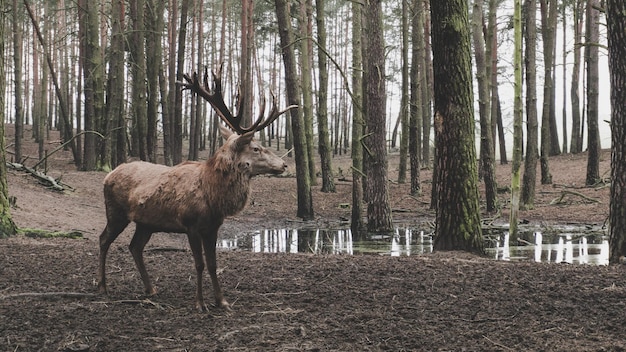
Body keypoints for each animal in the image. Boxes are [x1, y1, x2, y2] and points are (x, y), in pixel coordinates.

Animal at [96, 66, 296, 310]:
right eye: (256, 148)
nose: (284, 164)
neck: (213, 197)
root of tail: (108, 175)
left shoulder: (213, 227)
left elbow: (212, 263)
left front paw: (222, 301)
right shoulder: (190, 224)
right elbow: (199, 263)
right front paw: (200, 303)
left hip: (146, 223)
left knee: (135, 246)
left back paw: (150, 288)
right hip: (115, 212)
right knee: (104, 240)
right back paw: (103, 287)